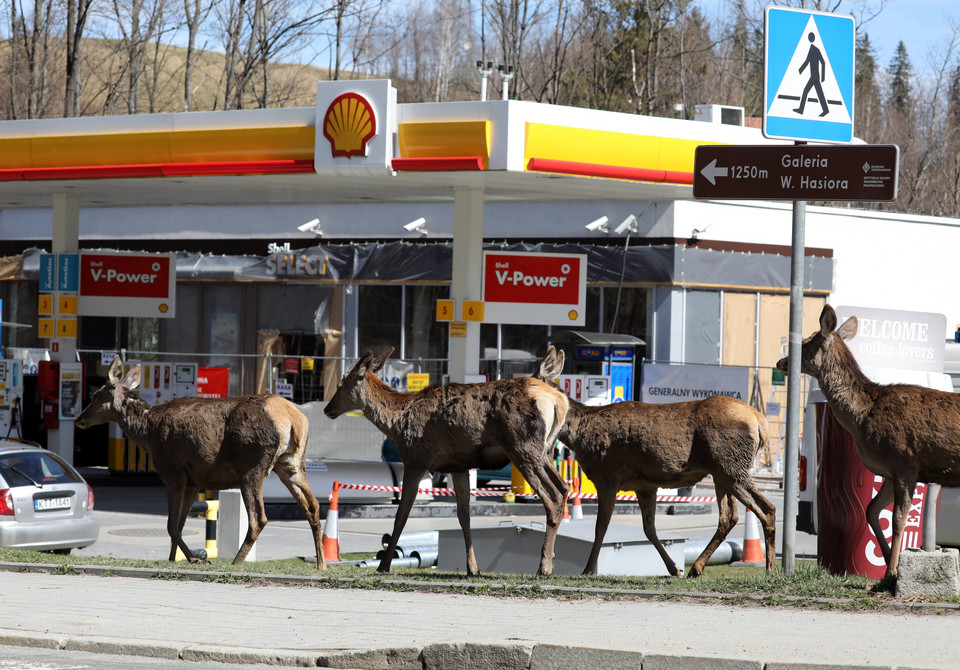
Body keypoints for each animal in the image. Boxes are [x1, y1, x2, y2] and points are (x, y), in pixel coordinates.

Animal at [74, 356, 326, 572]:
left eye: (95, 395)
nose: (79, 419)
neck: (148, 433)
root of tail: (294, 419)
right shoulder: (193, 480)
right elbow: (180, 524)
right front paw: (173, 559)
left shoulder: (174, 474)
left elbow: (171, 525)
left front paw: (196, 559)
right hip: (292, 463)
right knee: (312, 505)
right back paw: (321, 563)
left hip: (252, 466)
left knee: (259, 518)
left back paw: (236, 562)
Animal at [322, 350, 568, 576]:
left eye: (341, 385)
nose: (327, 409)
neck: (396, 423)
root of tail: (558, 402)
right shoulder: (458, 466)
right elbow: (464, 516)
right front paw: (473, 569)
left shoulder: (416, 459)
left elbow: (401, 515)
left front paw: (384, 566)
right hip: (545, 451)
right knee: (565, 487)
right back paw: (552, 560)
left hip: (522, 447)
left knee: (552, 496)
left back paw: (544, 567)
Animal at [536, 346, 776, 576]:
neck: (579, 436)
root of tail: (760, 422)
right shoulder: (645, 485)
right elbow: (649, 528)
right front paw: (675, 569)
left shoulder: (607, 476)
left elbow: (601, 526)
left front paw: (587, 569)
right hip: (721, 472)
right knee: (729, 517)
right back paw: (696, 568)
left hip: (731, 466)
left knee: (766, 508)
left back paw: (770, 569)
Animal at [776, 306, 960, 584]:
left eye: (807, 341)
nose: (781, 363)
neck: (863, 415)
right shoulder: (890, 471)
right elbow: (871, 510)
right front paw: (886, 564)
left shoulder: (905, 461)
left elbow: (897, 519)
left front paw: (893, 571)